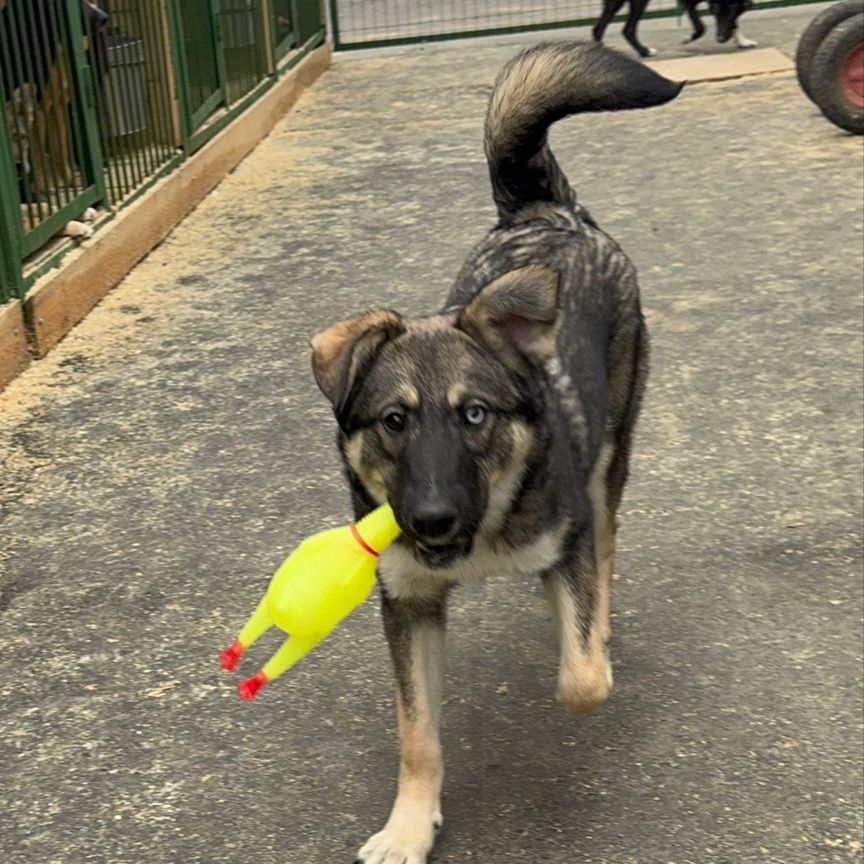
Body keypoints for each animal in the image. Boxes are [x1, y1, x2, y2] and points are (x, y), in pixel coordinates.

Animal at [310, 40, 680, 864]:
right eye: (393, 421)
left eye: (474, 414)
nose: (432, 521)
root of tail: (548, 213)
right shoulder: (409, 604)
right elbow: (417, 734)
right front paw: (410, 825)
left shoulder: (564, 546)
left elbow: (581, 680)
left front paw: (589, 650)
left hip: (612, 459)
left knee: (608, 544)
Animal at [592, 0, 756, 58]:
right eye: (714, 10)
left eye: (734, 12)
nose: (721, 39)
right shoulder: (689, 1)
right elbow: (700, 27)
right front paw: (688, 38)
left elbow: (734, 23)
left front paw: (743, 41)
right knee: (628, 29)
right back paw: (645, 51)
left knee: (598, 28)